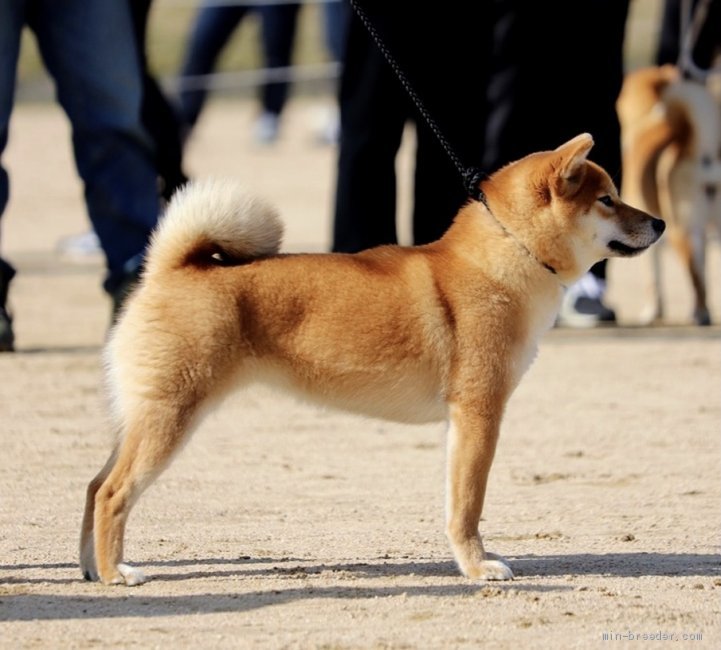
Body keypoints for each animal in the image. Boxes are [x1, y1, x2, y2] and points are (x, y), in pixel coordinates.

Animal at [80, 134, 664, 584]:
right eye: (608, 200)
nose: (659, 223)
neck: (503, 261)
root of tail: (173, 268)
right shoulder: (480, 412)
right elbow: (468, 506)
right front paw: (478, 568)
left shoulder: (461, 423)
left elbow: (456, 501)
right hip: (171, 417)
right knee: (112, 493)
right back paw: (115, 573)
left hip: (142, 417)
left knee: (92, 485)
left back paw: (89, 568)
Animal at [612, 66, 720, 324]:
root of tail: (702, 155)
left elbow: (654, 280)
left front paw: (652, 312)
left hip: (682, 229)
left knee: (694, 279)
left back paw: (699, 314)